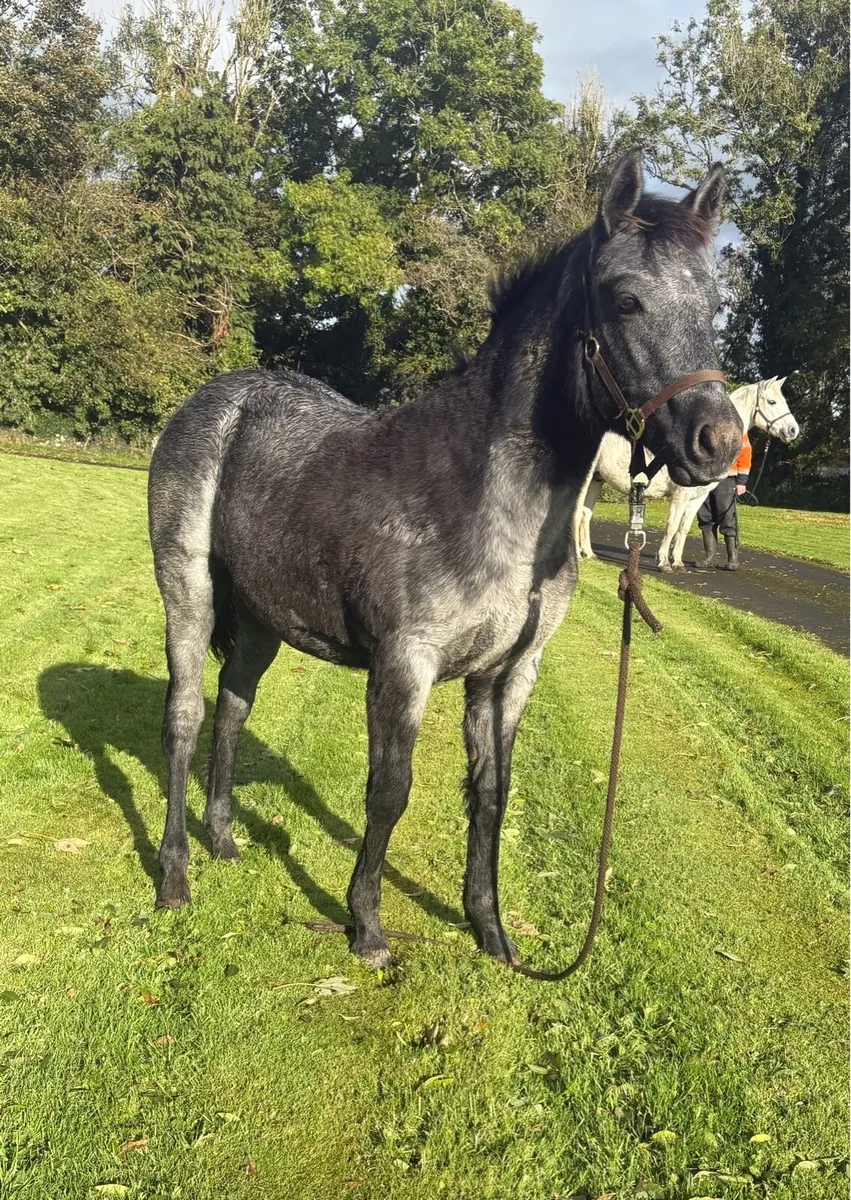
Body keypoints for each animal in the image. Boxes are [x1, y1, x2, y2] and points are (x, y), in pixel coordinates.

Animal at [147, 150, 742, 971]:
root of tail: (211, 401)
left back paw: (225, 841)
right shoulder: (406, 664)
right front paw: (366, 928)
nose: (718, 442)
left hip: (264, 616)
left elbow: (491, 793)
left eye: (713, 305)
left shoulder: (506, 673)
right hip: (189, 593)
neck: (490, 505)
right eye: (625, 301)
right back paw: (175, 875)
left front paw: (490, 931)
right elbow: (388, 790)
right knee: (184, 715)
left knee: (234, 706)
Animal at [574, 377, 799, 571]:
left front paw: (677, 562)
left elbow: (684, 528)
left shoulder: (697, 498)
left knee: (585, 514)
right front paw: (663, 562)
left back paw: (590, 553)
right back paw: (577, 554)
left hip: (597, 479)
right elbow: (672, 526)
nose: (793, 430)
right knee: (576, 513)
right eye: (771, 401)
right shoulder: (680, 494)